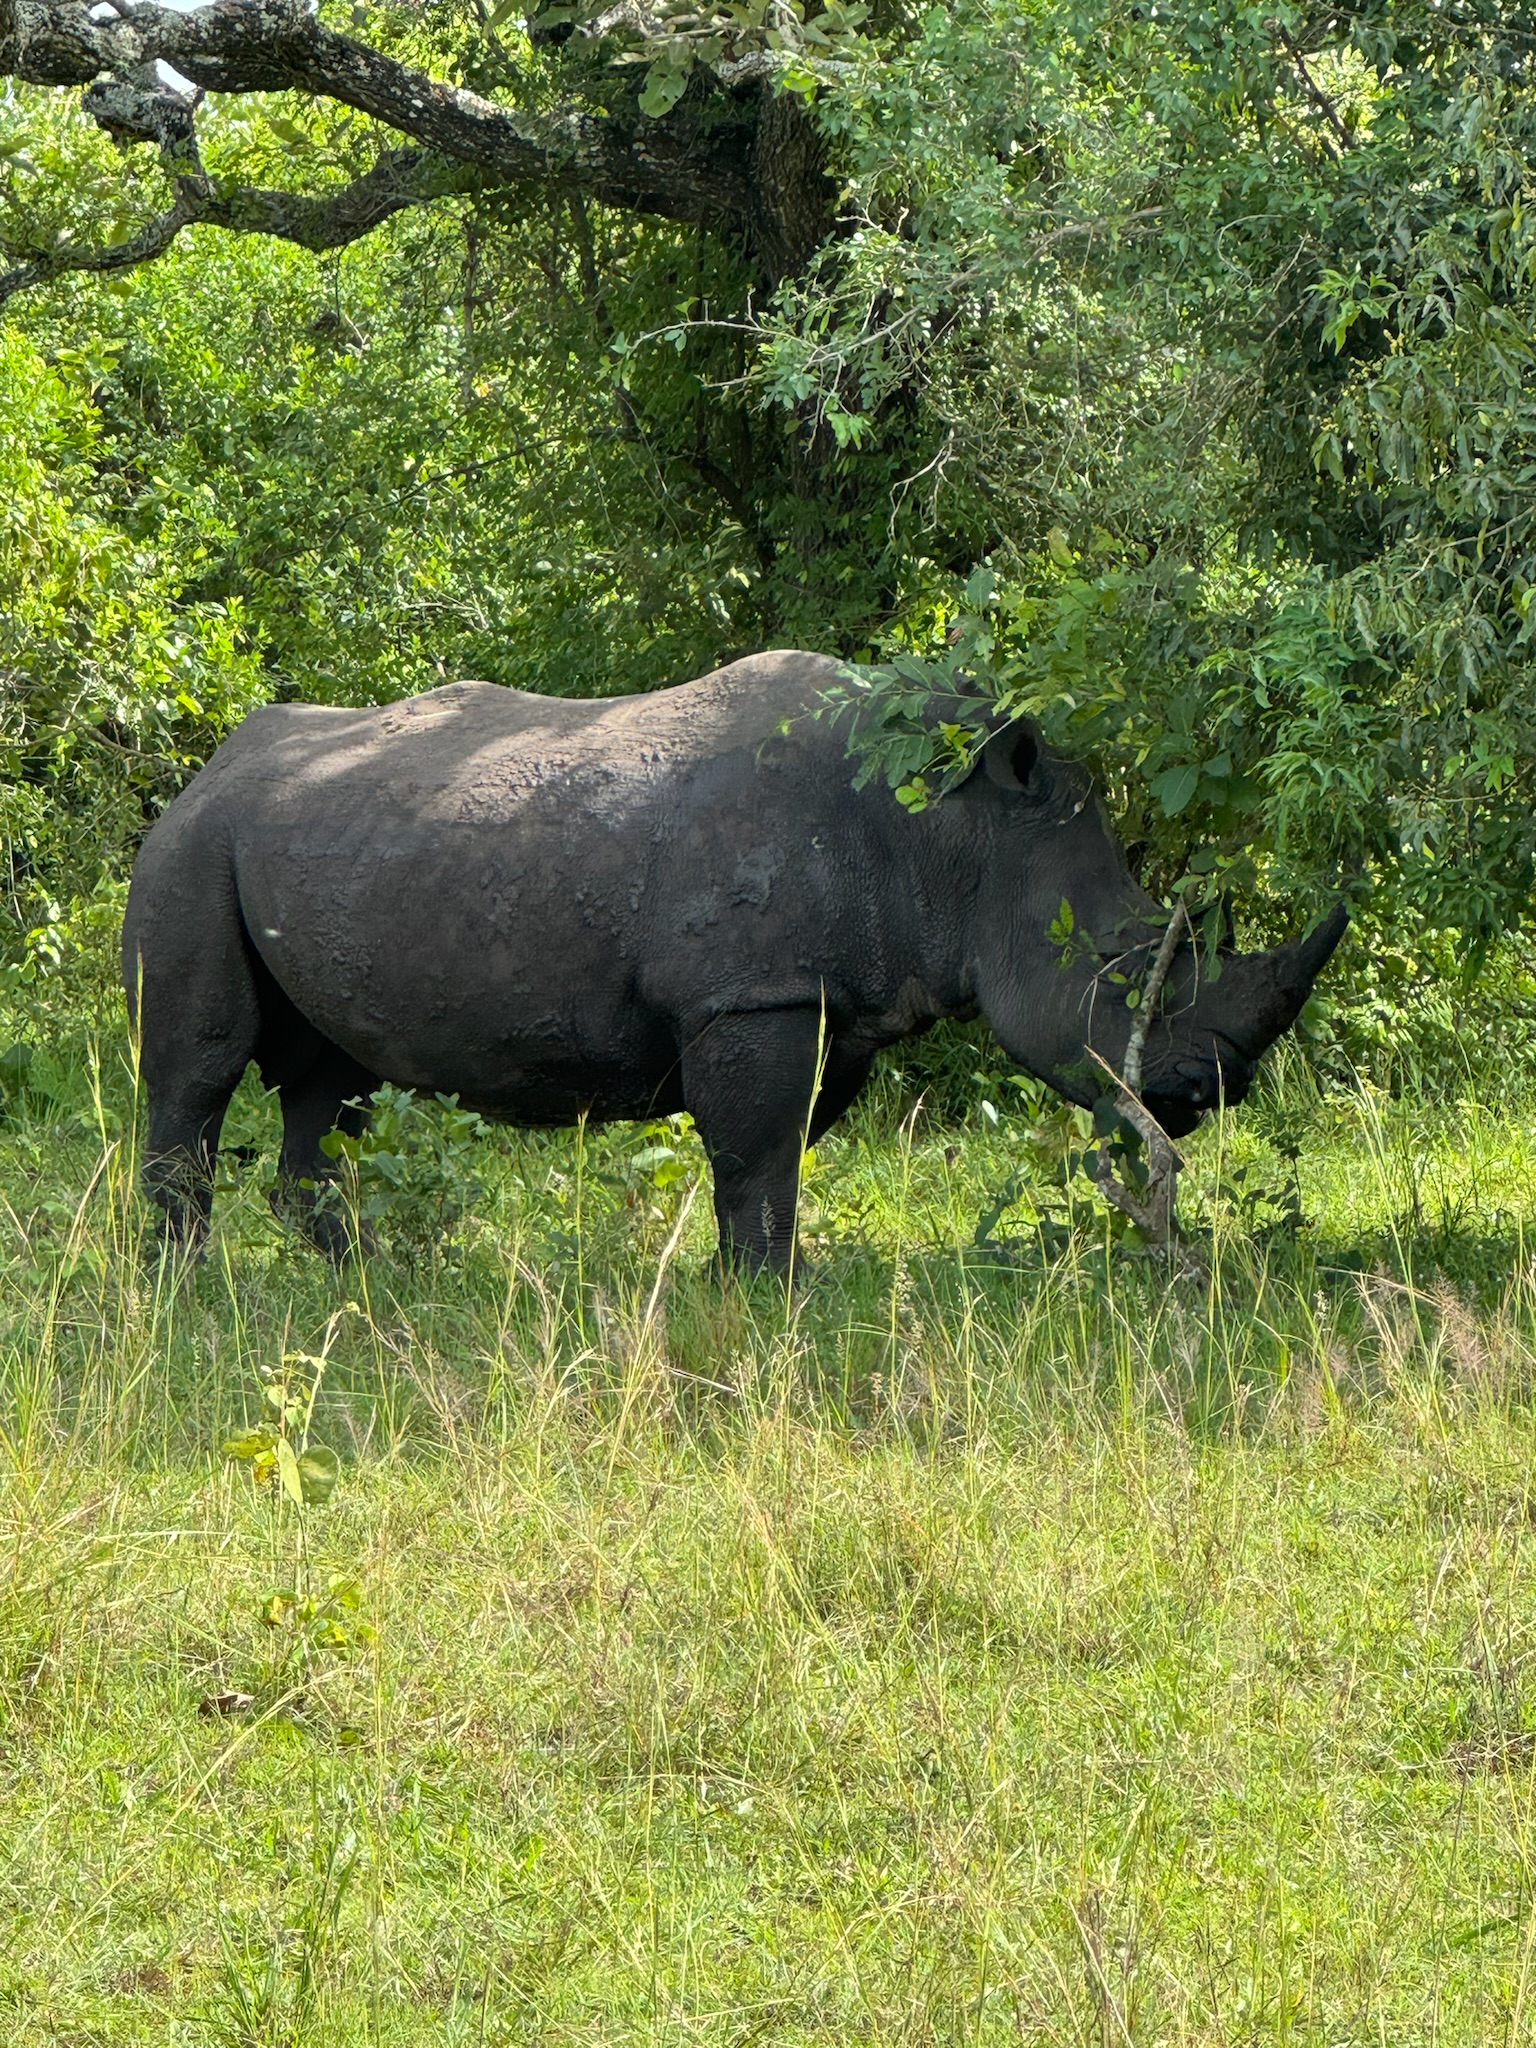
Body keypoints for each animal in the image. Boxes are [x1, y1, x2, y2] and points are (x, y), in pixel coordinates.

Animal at [122, 650, 1346, 1269]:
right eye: (1118, 964)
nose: (1204, 1093)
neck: (956, 833)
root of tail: (208, 764)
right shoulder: (749, 996)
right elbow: (757, 1152)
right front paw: (770, 1293)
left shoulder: (821, 995)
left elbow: (776, 1152)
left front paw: (759, 1278)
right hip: (190, 850)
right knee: (200, 1065)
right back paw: (188, 1287)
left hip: (301, 842)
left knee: (331, 1077)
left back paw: (365, 1273)